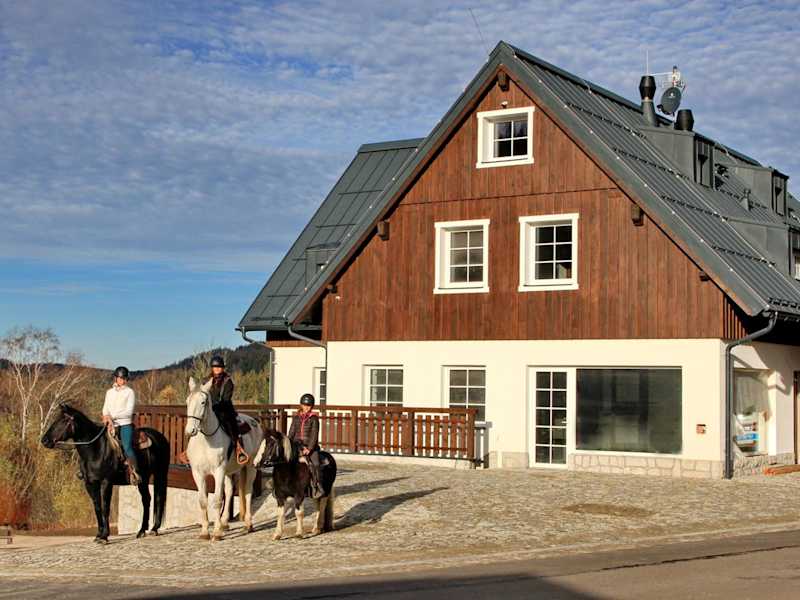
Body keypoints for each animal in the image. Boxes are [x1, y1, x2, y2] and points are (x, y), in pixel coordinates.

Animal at [40, 404, 169, 543]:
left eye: (64, 420)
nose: (44, 440)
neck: (96, 449)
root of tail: (160, 437)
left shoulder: (106, 482)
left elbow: (105, 507)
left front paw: (104, 536)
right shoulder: (90, 484)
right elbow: (97, 507)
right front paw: (99, 534)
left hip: (159, 474)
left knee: (157, 498)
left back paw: (152, 529)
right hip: (145, 479)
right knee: (147, 499)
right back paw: (143, 531)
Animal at [184, 377, 262, 541]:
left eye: (203, 402)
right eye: (188, 401)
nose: (190, 430)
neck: (206, 441)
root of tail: (254, 422)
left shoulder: (218, 471)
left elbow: (217, 500)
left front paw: (217, 532)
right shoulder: (198, 473)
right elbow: (203, 501)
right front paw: (205, 532)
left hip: (250, 467)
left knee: (247, 491)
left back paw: (248, 524)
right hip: (229, 471)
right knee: (230, 490)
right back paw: (225, 522)